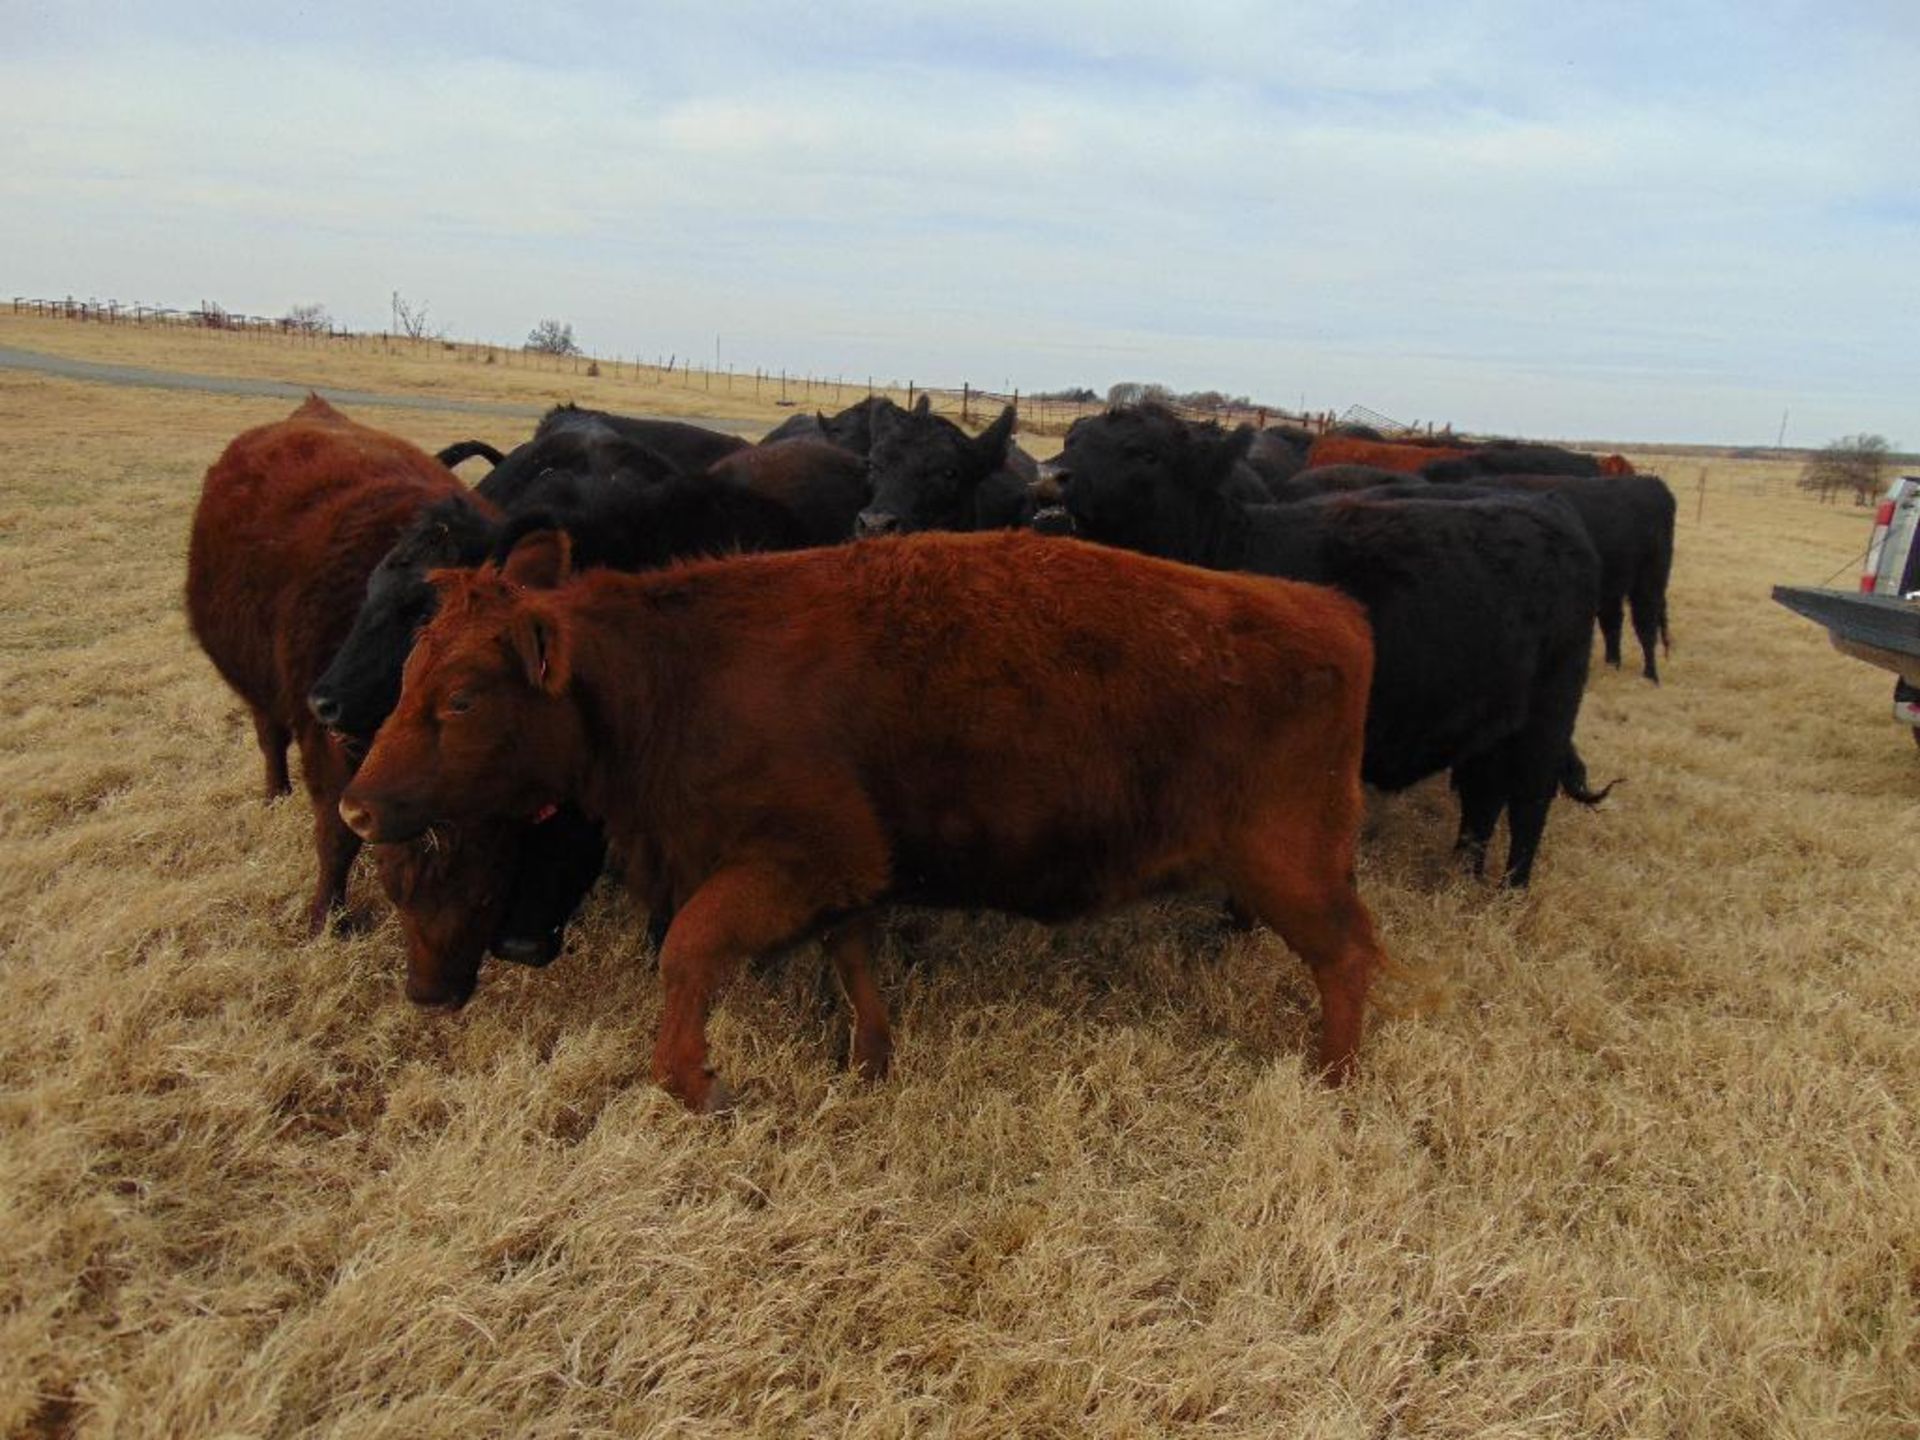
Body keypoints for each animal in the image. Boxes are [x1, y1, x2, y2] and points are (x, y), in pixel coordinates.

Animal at [337, 529, 1397, 1113]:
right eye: (410, 670)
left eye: (463, 696)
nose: (356, 802)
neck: (672, 673)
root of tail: (1333, 613)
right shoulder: (845, 872)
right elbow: (852, 958)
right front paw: (870, 1060)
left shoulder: (792, 861)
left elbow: (690, 949)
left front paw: (694, 1083)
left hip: (1288, 866)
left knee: (1348, 953)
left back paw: (1334, 1079)